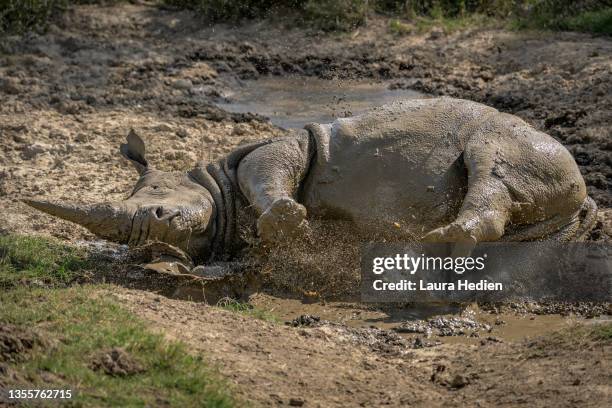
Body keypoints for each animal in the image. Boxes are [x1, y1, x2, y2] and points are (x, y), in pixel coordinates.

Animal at [26, 98, 596, 264]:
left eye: (158, 198)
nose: (159, 229)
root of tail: (587, 198)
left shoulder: (276, 148)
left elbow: (266, 172)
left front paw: (290, 221)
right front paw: (294, 237)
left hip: (520, 139)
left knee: (488, 154)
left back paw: (435, 243)